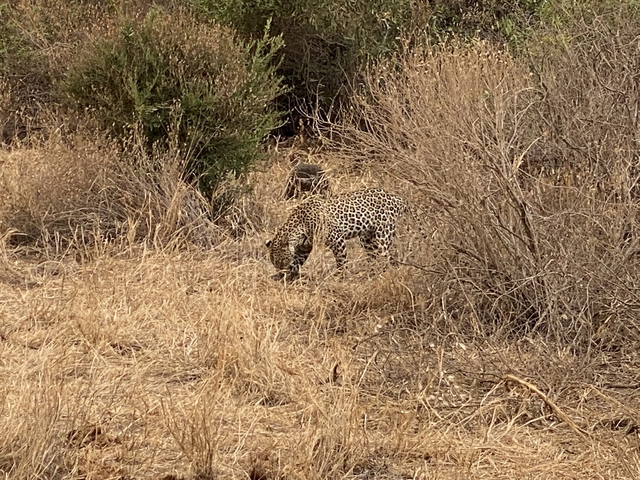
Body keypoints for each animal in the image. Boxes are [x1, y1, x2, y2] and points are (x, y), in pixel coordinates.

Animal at [266, 188, 407, 279]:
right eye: (275, 263)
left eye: (282, 261)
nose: (281, 271)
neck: (299, 225)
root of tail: (396, 197)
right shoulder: (304, 247)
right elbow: (297, 261)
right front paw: (287, 275)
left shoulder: (337, 239)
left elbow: (341, 260)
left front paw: (341, 276)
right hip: (367, 238)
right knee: (373, 256)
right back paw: (371, 273)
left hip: (383, 235)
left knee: (384, 257)